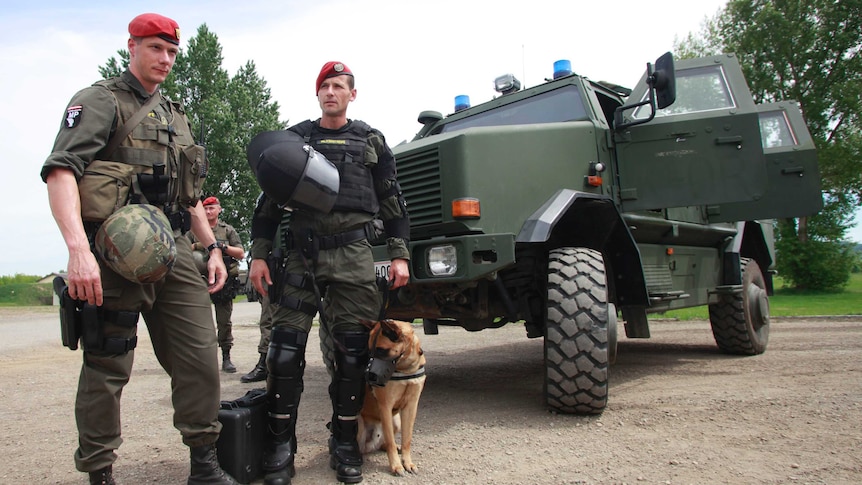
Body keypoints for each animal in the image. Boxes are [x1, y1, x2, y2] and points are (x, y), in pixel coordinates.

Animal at [358, 318, 426, 472]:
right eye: (369, 351)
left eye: (381, 350)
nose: (368, 376)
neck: (405, 368)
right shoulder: (385, 407)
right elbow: (390, 441)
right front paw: (396, 465)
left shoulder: (411, 407)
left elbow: (407, 439)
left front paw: (407, 462)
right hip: (359, 424)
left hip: (396, 422)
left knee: (384, 443)